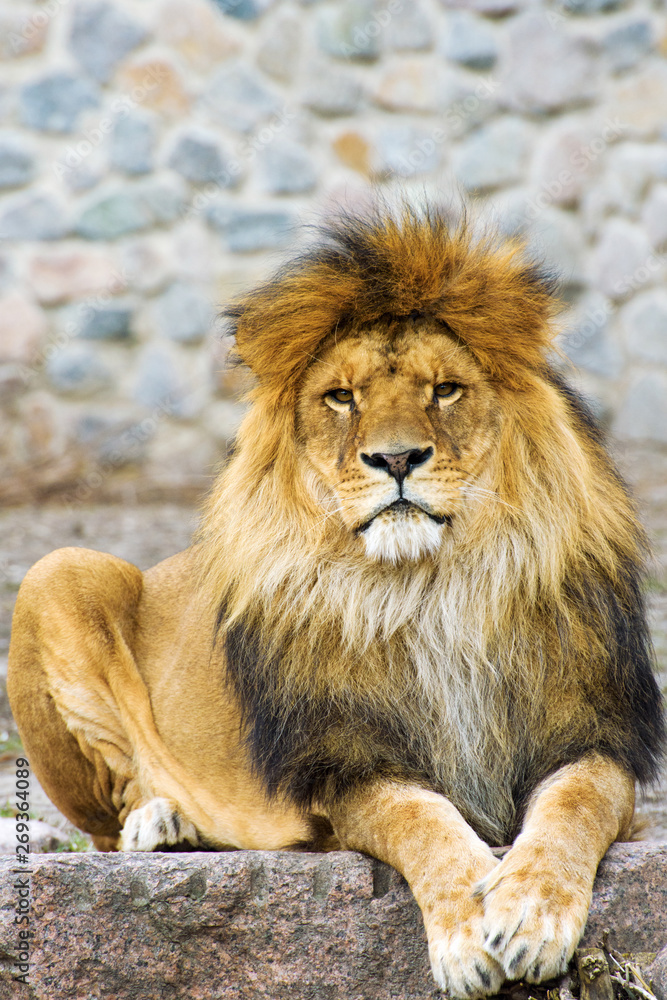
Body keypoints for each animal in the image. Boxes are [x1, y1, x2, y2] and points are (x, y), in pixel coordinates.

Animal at [8, 205, 665, 998]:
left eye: (445, 389)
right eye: (342, 397)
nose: (395, 458)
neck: (429, 590)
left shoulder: (596, 735)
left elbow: (575, 803)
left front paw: (530, 915)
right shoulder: (348, 763)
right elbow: (420, 817)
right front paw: (467, 933)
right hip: (57, 569)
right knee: (110, 823)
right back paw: (160, 825)